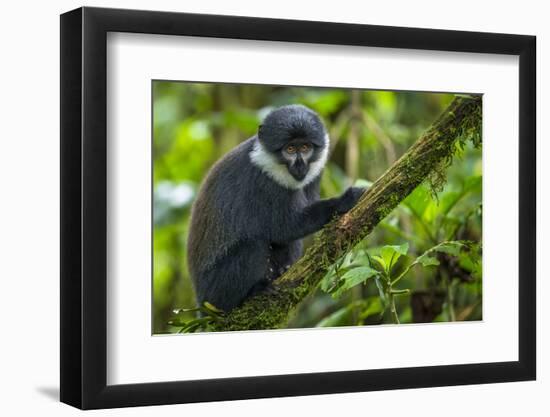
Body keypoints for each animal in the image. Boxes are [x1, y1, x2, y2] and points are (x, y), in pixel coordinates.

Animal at [189, 104, 366, 312]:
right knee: (254, 244)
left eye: (305, 147)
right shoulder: (263, 182)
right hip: (216, 292)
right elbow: (284, 228)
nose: (300, 165)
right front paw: (344, 200)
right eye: (289, 149)